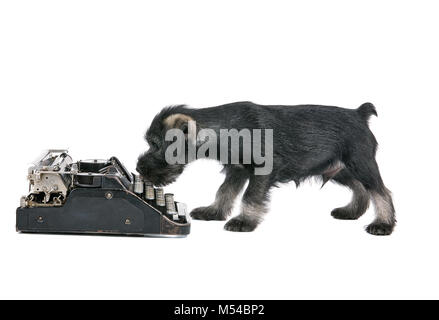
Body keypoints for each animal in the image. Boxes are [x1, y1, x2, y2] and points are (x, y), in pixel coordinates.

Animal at [137, 101, 396, 236]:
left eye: (155, 144)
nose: (139, 168)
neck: (225, 130)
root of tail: (359, 114)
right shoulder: (237, 171)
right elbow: (224, 192)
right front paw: (214, 211)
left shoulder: (262, 170)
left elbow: (250, 196)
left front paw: (244, 221)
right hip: (338, 169)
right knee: (361, 189)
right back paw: (351, 212)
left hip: (360, 163)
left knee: (380, 191)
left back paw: (382, 224)